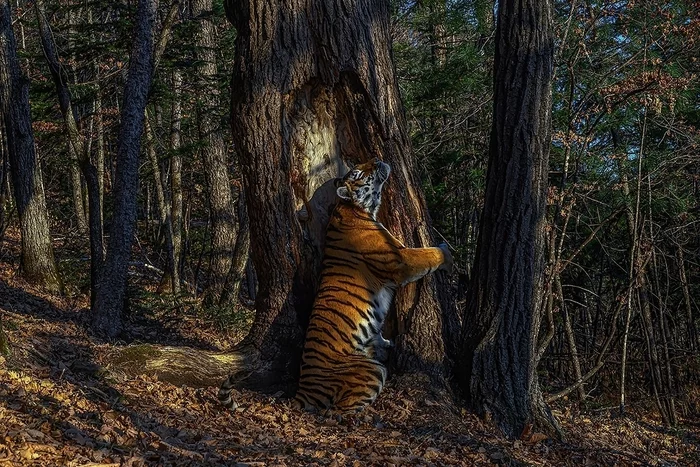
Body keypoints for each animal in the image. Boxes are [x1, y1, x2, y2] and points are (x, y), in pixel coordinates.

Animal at [221, 159, 456, 414]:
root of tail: (302, 391)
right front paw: (448, 254)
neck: (356, 208)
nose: (377, 159)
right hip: (371, 371)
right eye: (359, 173)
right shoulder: (399, 260)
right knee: (338, 412)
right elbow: (427, 254)